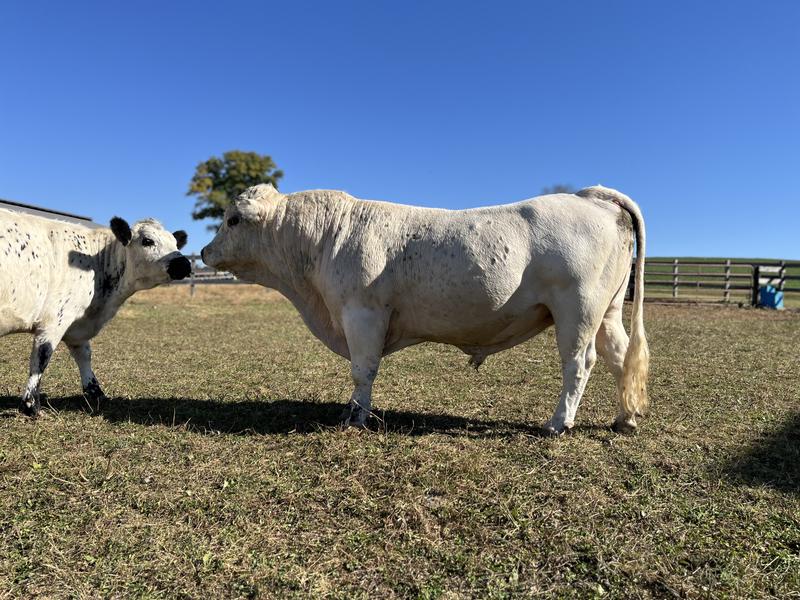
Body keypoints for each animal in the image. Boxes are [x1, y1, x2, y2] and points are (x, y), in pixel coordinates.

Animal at [0, 209, 191, 416]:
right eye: (147, 241)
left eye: (175, 242)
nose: (184, 263)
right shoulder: (55, 319)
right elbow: (42, 356)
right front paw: (31, 405)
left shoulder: (77, 325)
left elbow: (84, 354)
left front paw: (96, 392)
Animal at [201, 183, 649, 435]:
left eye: (234, 219)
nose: (204, 252)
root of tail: (590, 196)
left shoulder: (363, 313)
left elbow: (363, 369)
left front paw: (355, 417)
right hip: (608, 311)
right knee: (619, 356)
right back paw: (624, 419)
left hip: (577, 310)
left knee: (579, 363)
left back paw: (558, 423)